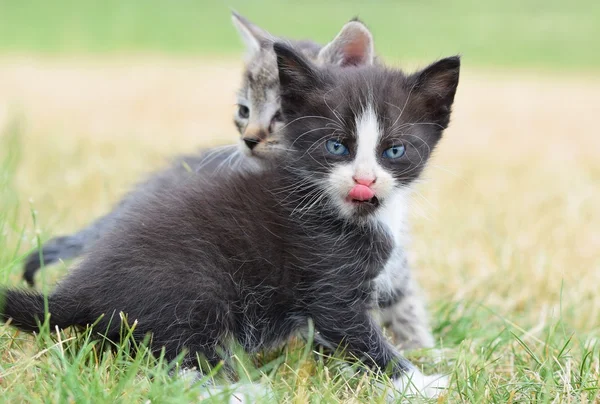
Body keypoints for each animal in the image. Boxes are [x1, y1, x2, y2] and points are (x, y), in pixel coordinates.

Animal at [2, 43, 460, 398]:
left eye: (395, 150)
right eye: (335, 146)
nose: (364, 180)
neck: (349, 210)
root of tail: (76, 293)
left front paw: (427, 356)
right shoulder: (326, 275)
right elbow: (356, 333)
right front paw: (420, 383)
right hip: (194, 286)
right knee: (171, 359)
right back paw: (239, 390)